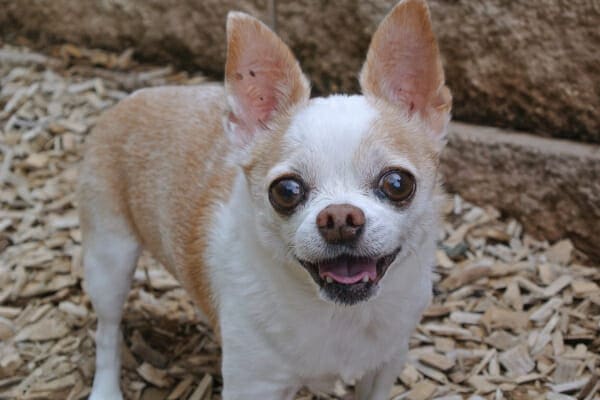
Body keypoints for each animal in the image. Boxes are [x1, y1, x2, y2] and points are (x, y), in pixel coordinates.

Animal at [78, 1, 450, 398]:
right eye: (286, 191)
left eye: (398, 183)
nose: (339, 218)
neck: (339, 314)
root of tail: (132, 97)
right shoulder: (254, 385)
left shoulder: (384, 366)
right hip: (109, 261)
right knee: (107, 331)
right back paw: (106, 388)